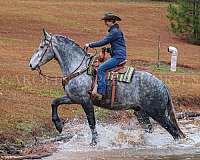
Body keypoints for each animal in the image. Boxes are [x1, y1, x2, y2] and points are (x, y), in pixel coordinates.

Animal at [28, 29, 185, 146]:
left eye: (41, 47)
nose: (31, 64)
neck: (78, 67)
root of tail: (163, 85)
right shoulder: (73, 98)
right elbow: (54, 102)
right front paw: (59, 125)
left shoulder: (85, 101)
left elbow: (91, 122)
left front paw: (94, 143)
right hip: (141, 112)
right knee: (150, 129)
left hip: (158, 113)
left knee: (175, 132)